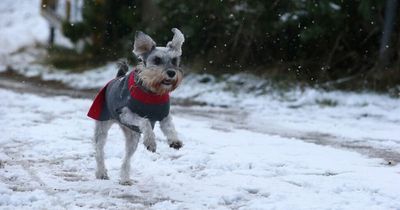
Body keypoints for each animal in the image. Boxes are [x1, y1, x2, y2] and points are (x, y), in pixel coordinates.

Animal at [87, 28, 184, 185]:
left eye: (175, 60)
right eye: (157, 60)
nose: (171, 72)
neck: (152, 93)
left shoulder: (164, 116)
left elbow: (170, 128)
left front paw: (175, 141)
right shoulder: (126, 113)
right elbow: (145, 121)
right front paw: (151, 141)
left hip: (132, 136)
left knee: (127, 158)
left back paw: (125, 179)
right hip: (102, 127)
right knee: (99, 151)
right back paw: (101, 173)